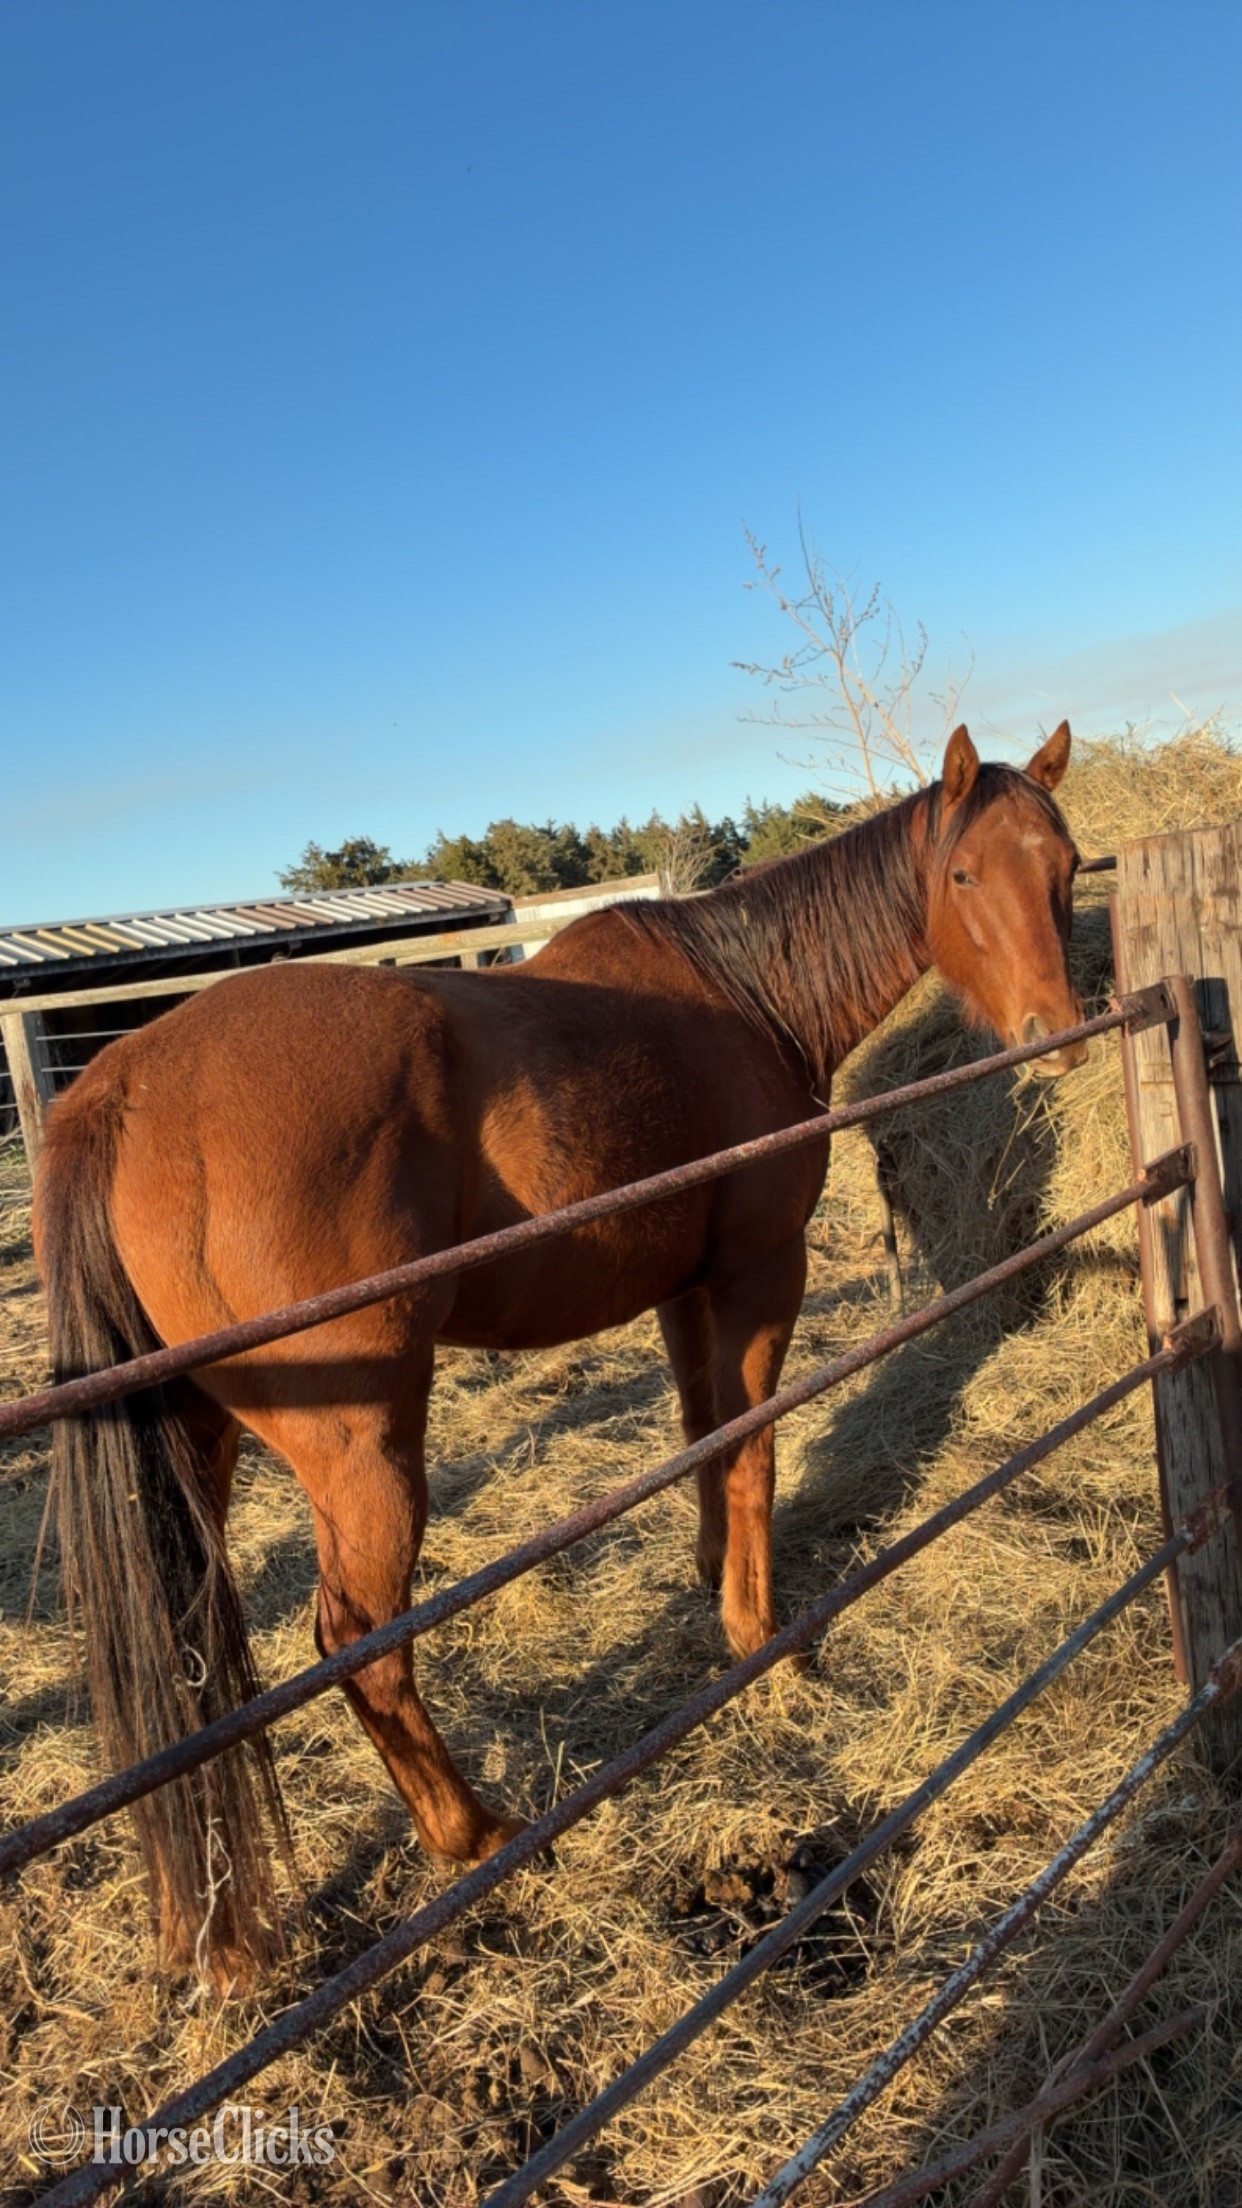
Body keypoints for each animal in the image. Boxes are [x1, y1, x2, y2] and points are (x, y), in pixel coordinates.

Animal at [34, 723, 1085, 1983]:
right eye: (965, 875)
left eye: (1068, 864)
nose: (1056, 1037)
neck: (744, 993)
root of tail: (120, 1088)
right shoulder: (759, 1275)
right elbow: (752, 1452)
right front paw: (765, 1646)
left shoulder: (687, 1292)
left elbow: (704, 1438)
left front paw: (714, 1585)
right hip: (363, 1451)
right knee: (359, 1642)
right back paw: (473, 1835)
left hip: (200, 1449)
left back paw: (220, 1928)